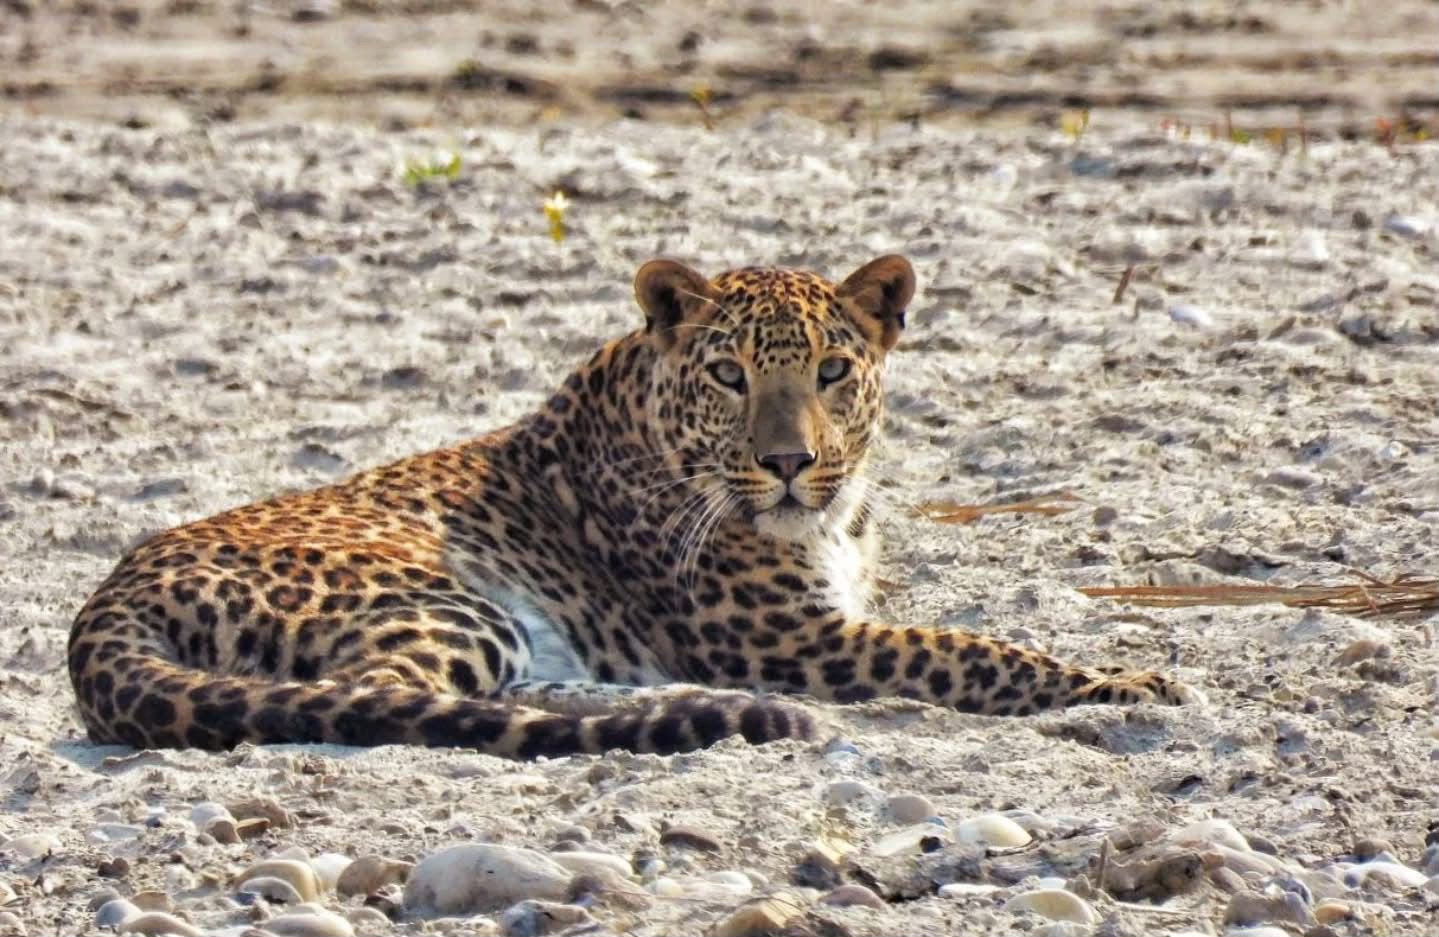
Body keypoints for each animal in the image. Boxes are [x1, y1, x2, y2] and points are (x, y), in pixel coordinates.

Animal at [67, 254, 1197, 758]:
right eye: (730, 375)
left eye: (832, 371)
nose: (789, 463)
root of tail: (105, 600)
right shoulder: (796, 640)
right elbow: (972, 650)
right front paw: (1118, 682)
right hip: (444, 599)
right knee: (386, 695)